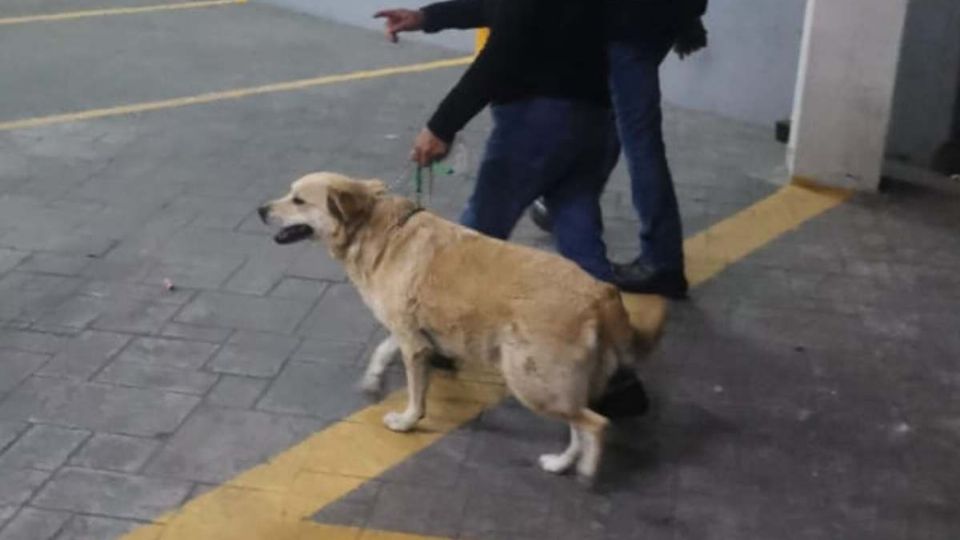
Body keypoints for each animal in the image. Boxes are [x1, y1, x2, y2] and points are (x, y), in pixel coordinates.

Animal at [258, 173, 656, 480]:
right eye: (289, 193)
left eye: (298, 200)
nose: (261, 210)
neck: (379, 232)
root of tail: (601, 292)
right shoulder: (408, 331)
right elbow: (383, 348)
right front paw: (373, 377)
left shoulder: (413, 344)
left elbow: (416, 394)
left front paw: (407, 421)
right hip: (553, 382)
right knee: (579, 424)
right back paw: (561, 463)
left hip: (531, 381)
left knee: (595, 424)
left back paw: (587, 471)